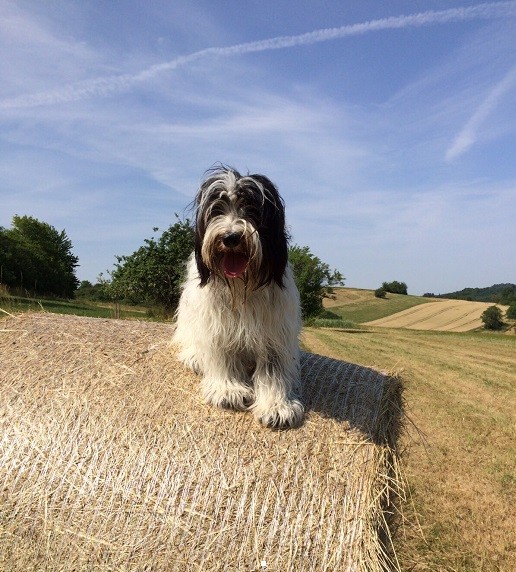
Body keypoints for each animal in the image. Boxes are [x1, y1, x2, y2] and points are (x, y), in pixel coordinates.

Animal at [173, 166, 302, 428]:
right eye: (216, 210)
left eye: (252, 209)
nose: (231, 237)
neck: (242, 285)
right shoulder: (217, 325)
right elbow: (222, 355)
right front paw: (228, 389)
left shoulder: (275, 333)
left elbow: (273, 371)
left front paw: (277, 405)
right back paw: (194, 356)